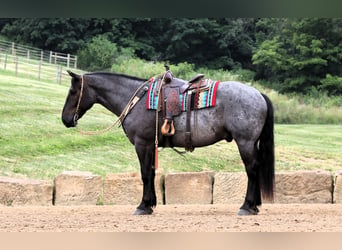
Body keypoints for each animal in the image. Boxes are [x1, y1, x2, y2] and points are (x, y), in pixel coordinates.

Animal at [62, 70, 276, 215]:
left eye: (73, 91)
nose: (65, 119)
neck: (137, 100)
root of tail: (259, 94)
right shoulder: (150, 145)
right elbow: (151, 173)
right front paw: (150, 204)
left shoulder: (142, 144)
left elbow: (145, 174)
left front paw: (143, 206)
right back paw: (255, 206)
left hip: (245, 142)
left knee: (252, 170)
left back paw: (247, 206)